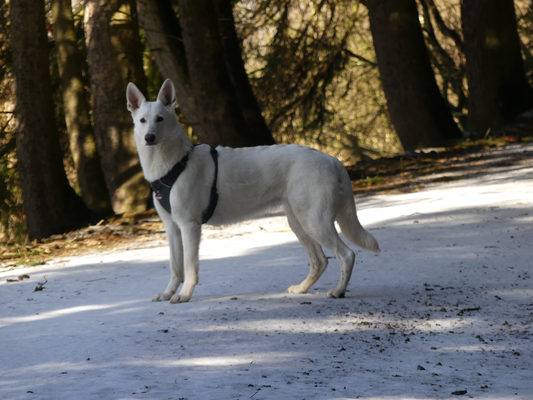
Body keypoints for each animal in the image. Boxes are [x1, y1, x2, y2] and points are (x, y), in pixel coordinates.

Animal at [127, 79, 380, 304]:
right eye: (142, 121)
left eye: (160, 119)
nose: (149, 137)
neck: (174, 163)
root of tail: (332, 159)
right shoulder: (172, 229)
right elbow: (175, 268)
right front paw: (168, 293)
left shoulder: (189, 226)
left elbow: (189, 268)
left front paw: (184, 295)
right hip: (298, 222)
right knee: (320, 261)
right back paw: (302, 289)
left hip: (315, 222)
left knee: (346, 255)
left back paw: (338, 291)